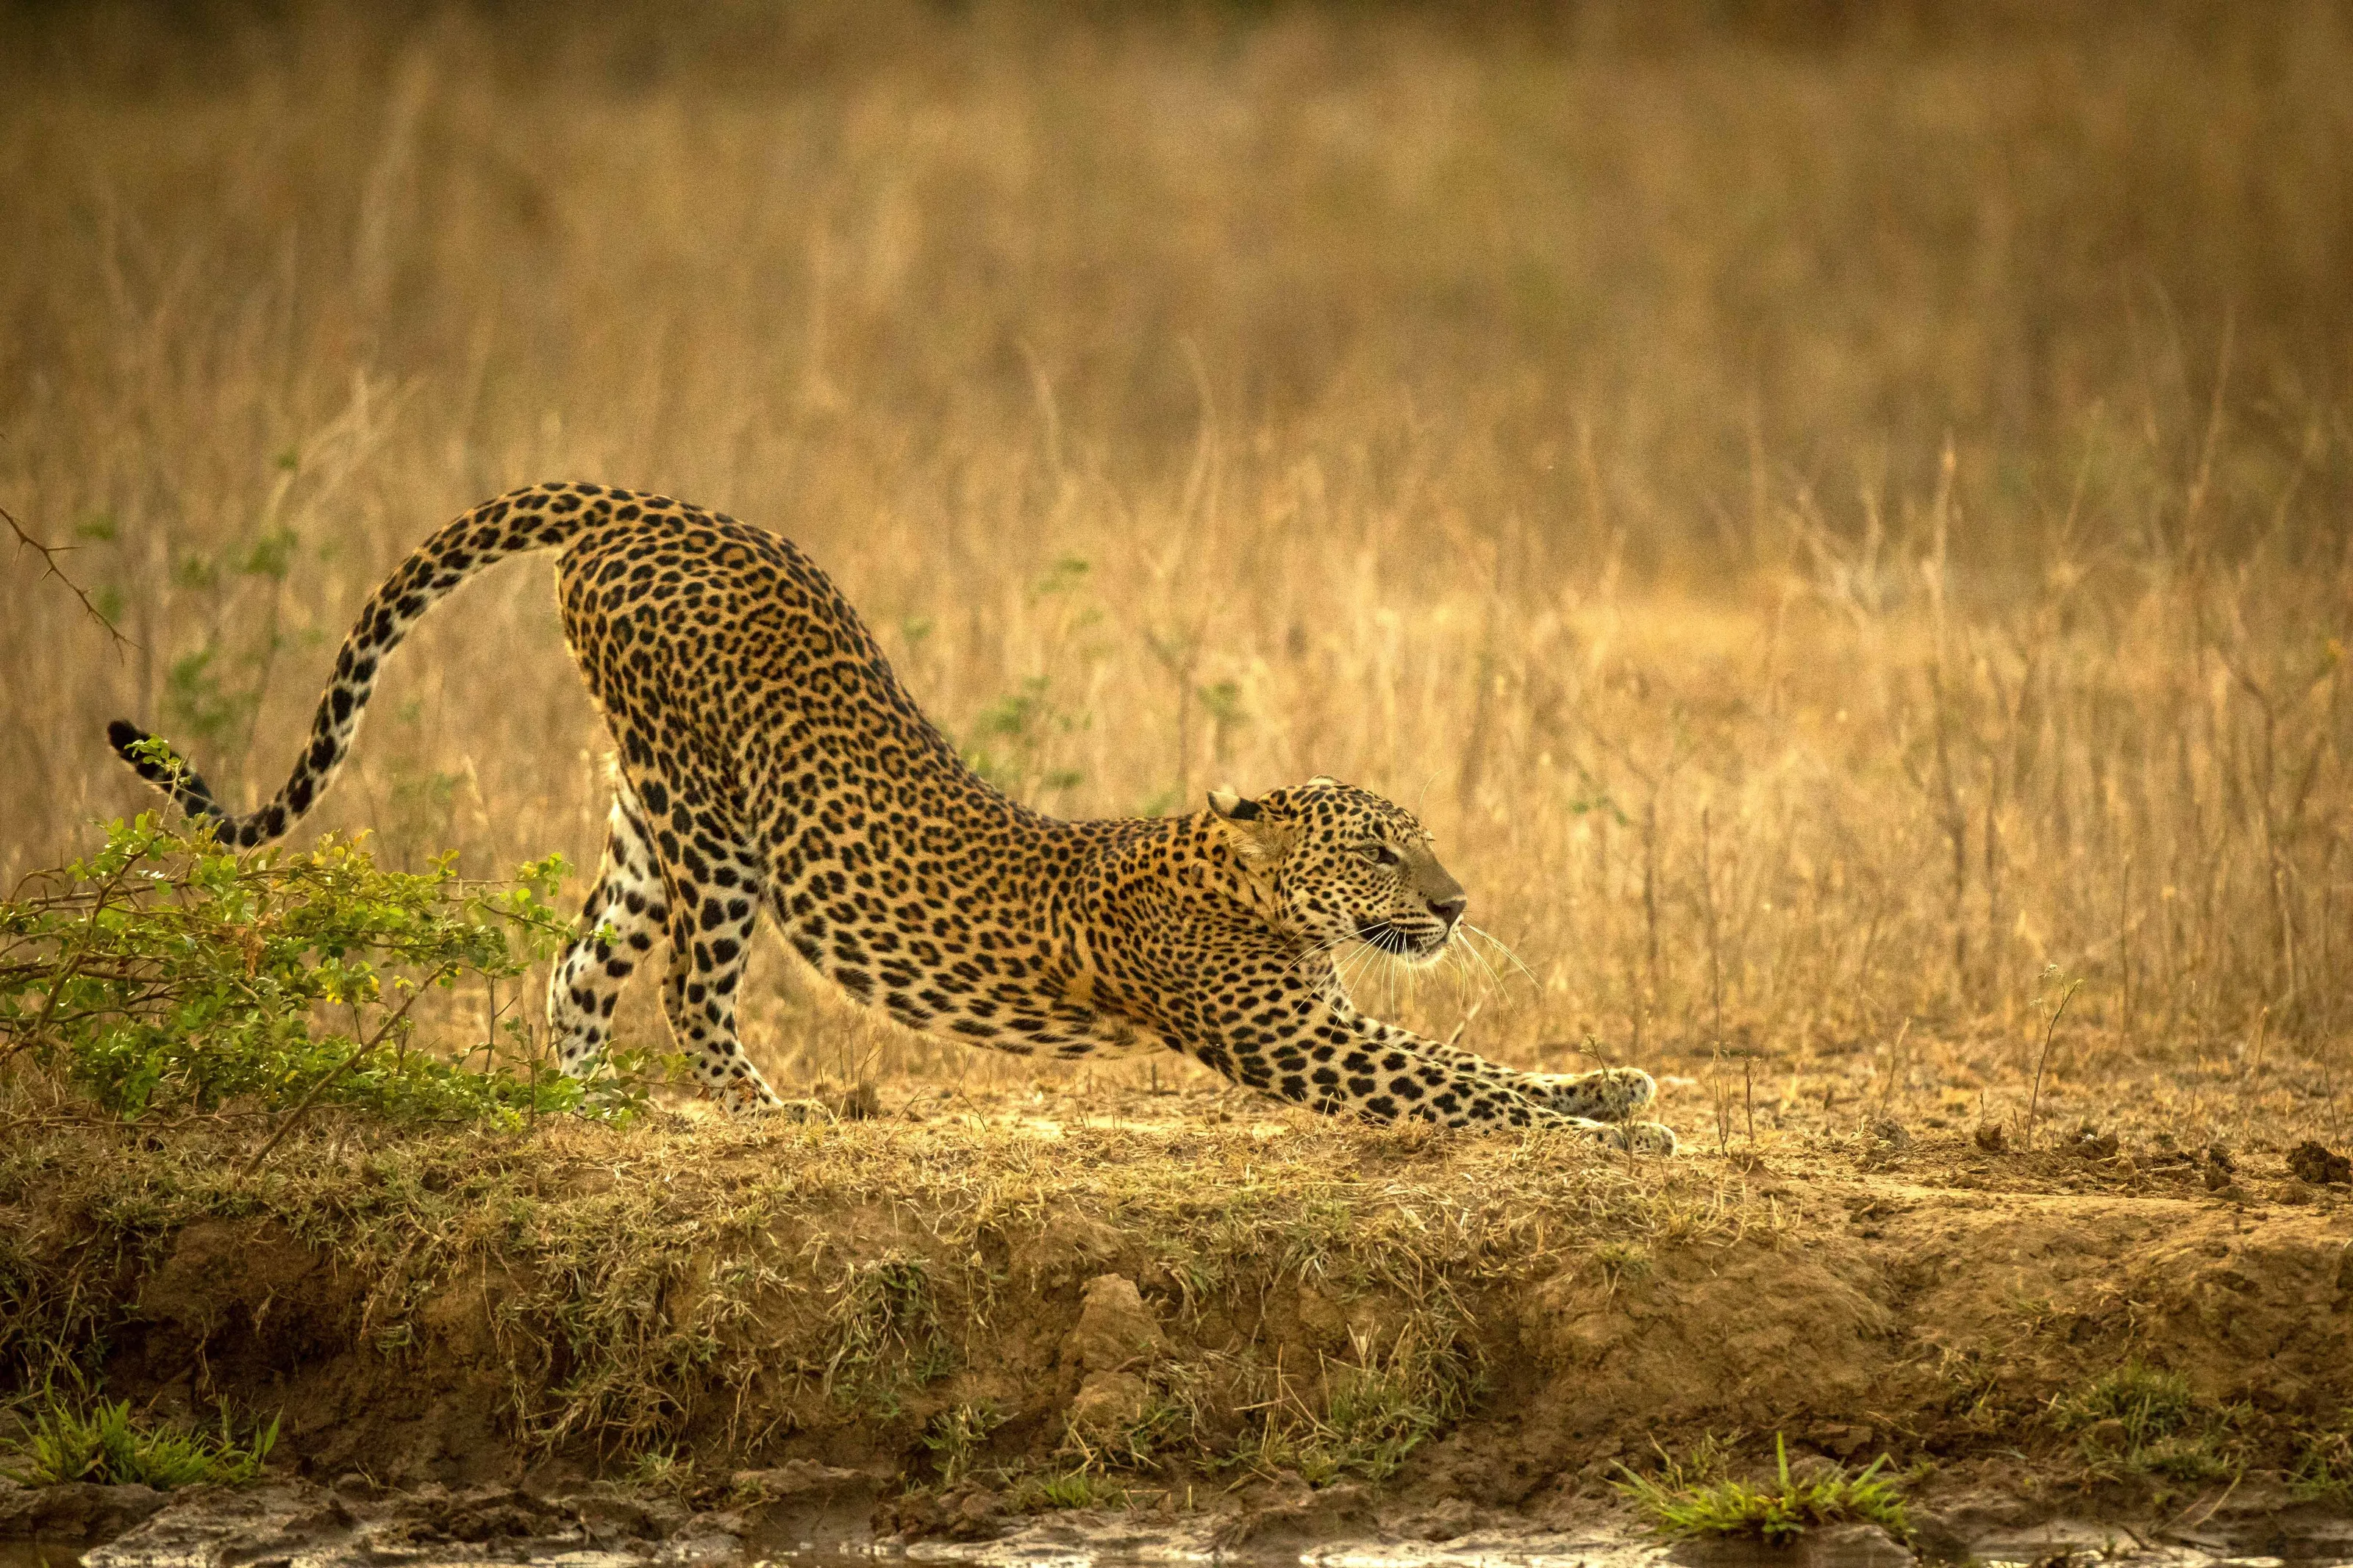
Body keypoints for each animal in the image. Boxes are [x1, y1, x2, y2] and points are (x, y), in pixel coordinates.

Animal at [107, 481, 1676, 1150]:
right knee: (688, 988)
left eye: (1423, 841)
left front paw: (1606, 1088)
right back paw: (768, 1114)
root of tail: (641, 504)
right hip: (714, 825)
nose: (1460, 902)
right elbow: (1456, 1084)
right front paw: (1614, 1138)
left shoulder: (1321, 1013)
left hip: (647, 806)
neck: (1252, 891)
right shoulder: (1286, 1031)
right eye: (1379, 849)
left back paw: (595, 1105)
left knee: (577, 965)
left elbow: (1475, 1061)